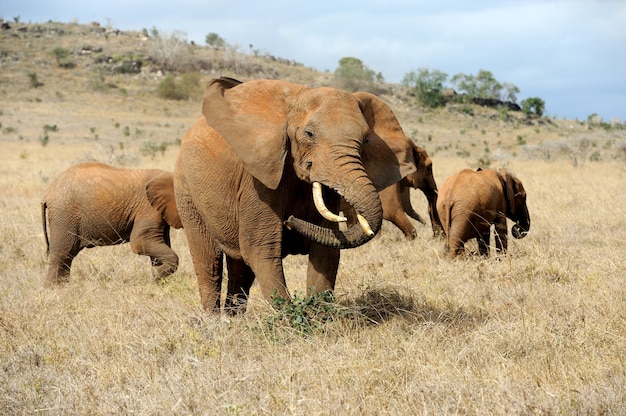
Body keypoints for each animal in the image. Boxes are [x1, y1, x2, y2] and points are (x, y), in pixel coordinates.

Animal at [41, 162, 180, 286]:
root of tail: (47, 193)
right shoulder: (148, 209)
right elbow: (140, 241)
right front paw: (155, 275)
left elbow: (160, 242)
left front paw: (157, 281)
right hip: (64, 216)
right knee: (63, 253)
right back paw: (54, 289)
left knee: (67, 256)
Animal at [147, 76, 414, 314]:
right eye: (309, 134)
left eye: (366, 140)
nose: (290, 222)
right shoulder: (258, 180)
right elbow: (260, 248)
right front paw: (294, 321)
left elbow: (326, 251)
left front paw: (320, 320)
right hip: (186, 190)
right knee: (208, 260)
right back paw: (215, 321)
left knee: (240, 269)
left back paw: (233, 320)